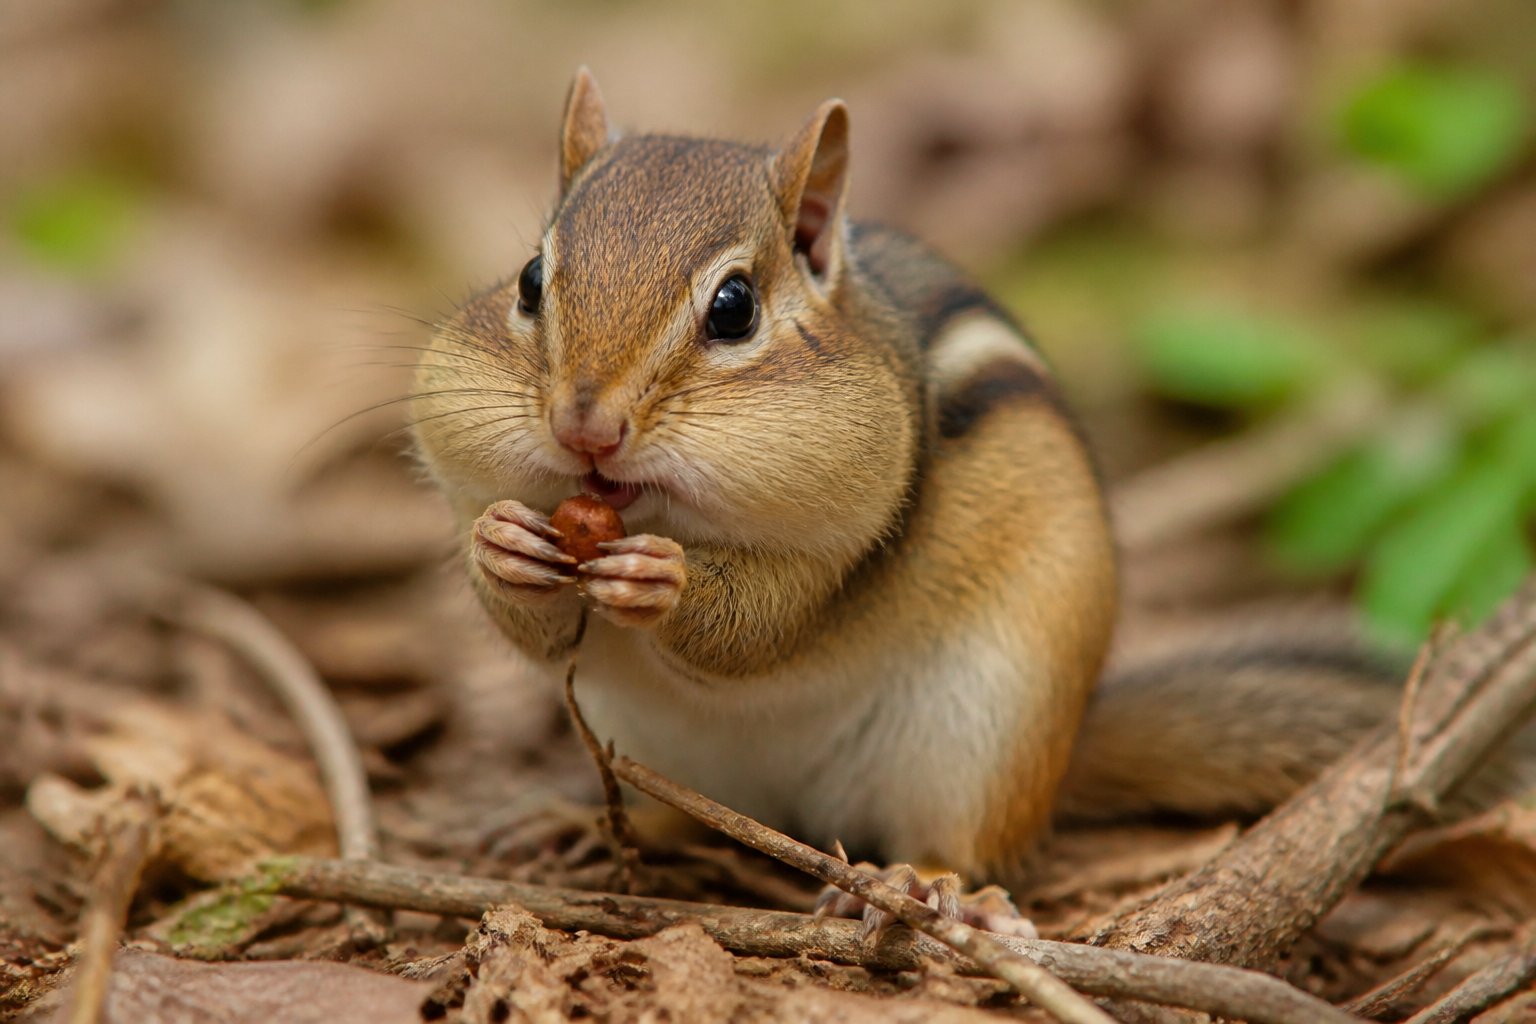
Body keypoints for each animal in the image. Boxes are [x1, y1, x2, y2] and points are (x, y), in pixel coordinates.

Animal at [410, 70, 1491, 908]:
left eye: (733, 307)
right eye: (528, 280)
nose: (583, 426)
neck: (653, 510)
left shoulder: (847, 540)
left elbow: (761, 629)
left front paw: (663, 580)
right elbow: (531, 622)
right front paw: (501, 544)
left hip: (986, 726)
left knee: (969, 846)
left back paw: (919, 882)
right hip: (644, 742)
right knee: (678, 819)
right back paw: (579, 825)